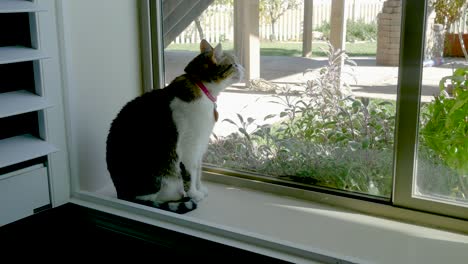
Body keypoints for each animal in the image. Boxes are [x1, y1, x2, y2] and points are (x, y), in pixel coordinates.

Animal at [106, 38, 245, 212]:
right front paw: (194, 194)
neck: (201, 89)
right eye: (233, 64)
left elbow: (198, 171)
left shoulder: (200, 144)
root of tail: (122, 194)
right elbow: (191, 174)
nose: (243, 67)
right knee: (151, 197)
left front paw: (200, 189)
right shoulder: (189, 147)